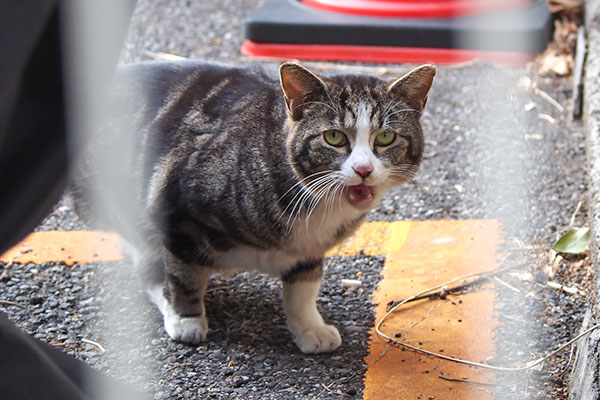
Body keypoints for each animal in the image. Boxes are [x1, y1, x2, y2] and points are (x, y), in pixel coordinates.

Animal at [72, 59, 436, 354]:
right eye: (333, 137)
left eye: (386, 138)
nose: (363, 169)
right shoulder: (178, 209)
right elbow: (184, 273)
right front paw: (187, 318)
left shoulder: (309, 248)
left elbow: (304, 289)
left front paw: (309, 327)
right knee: (147, 258)